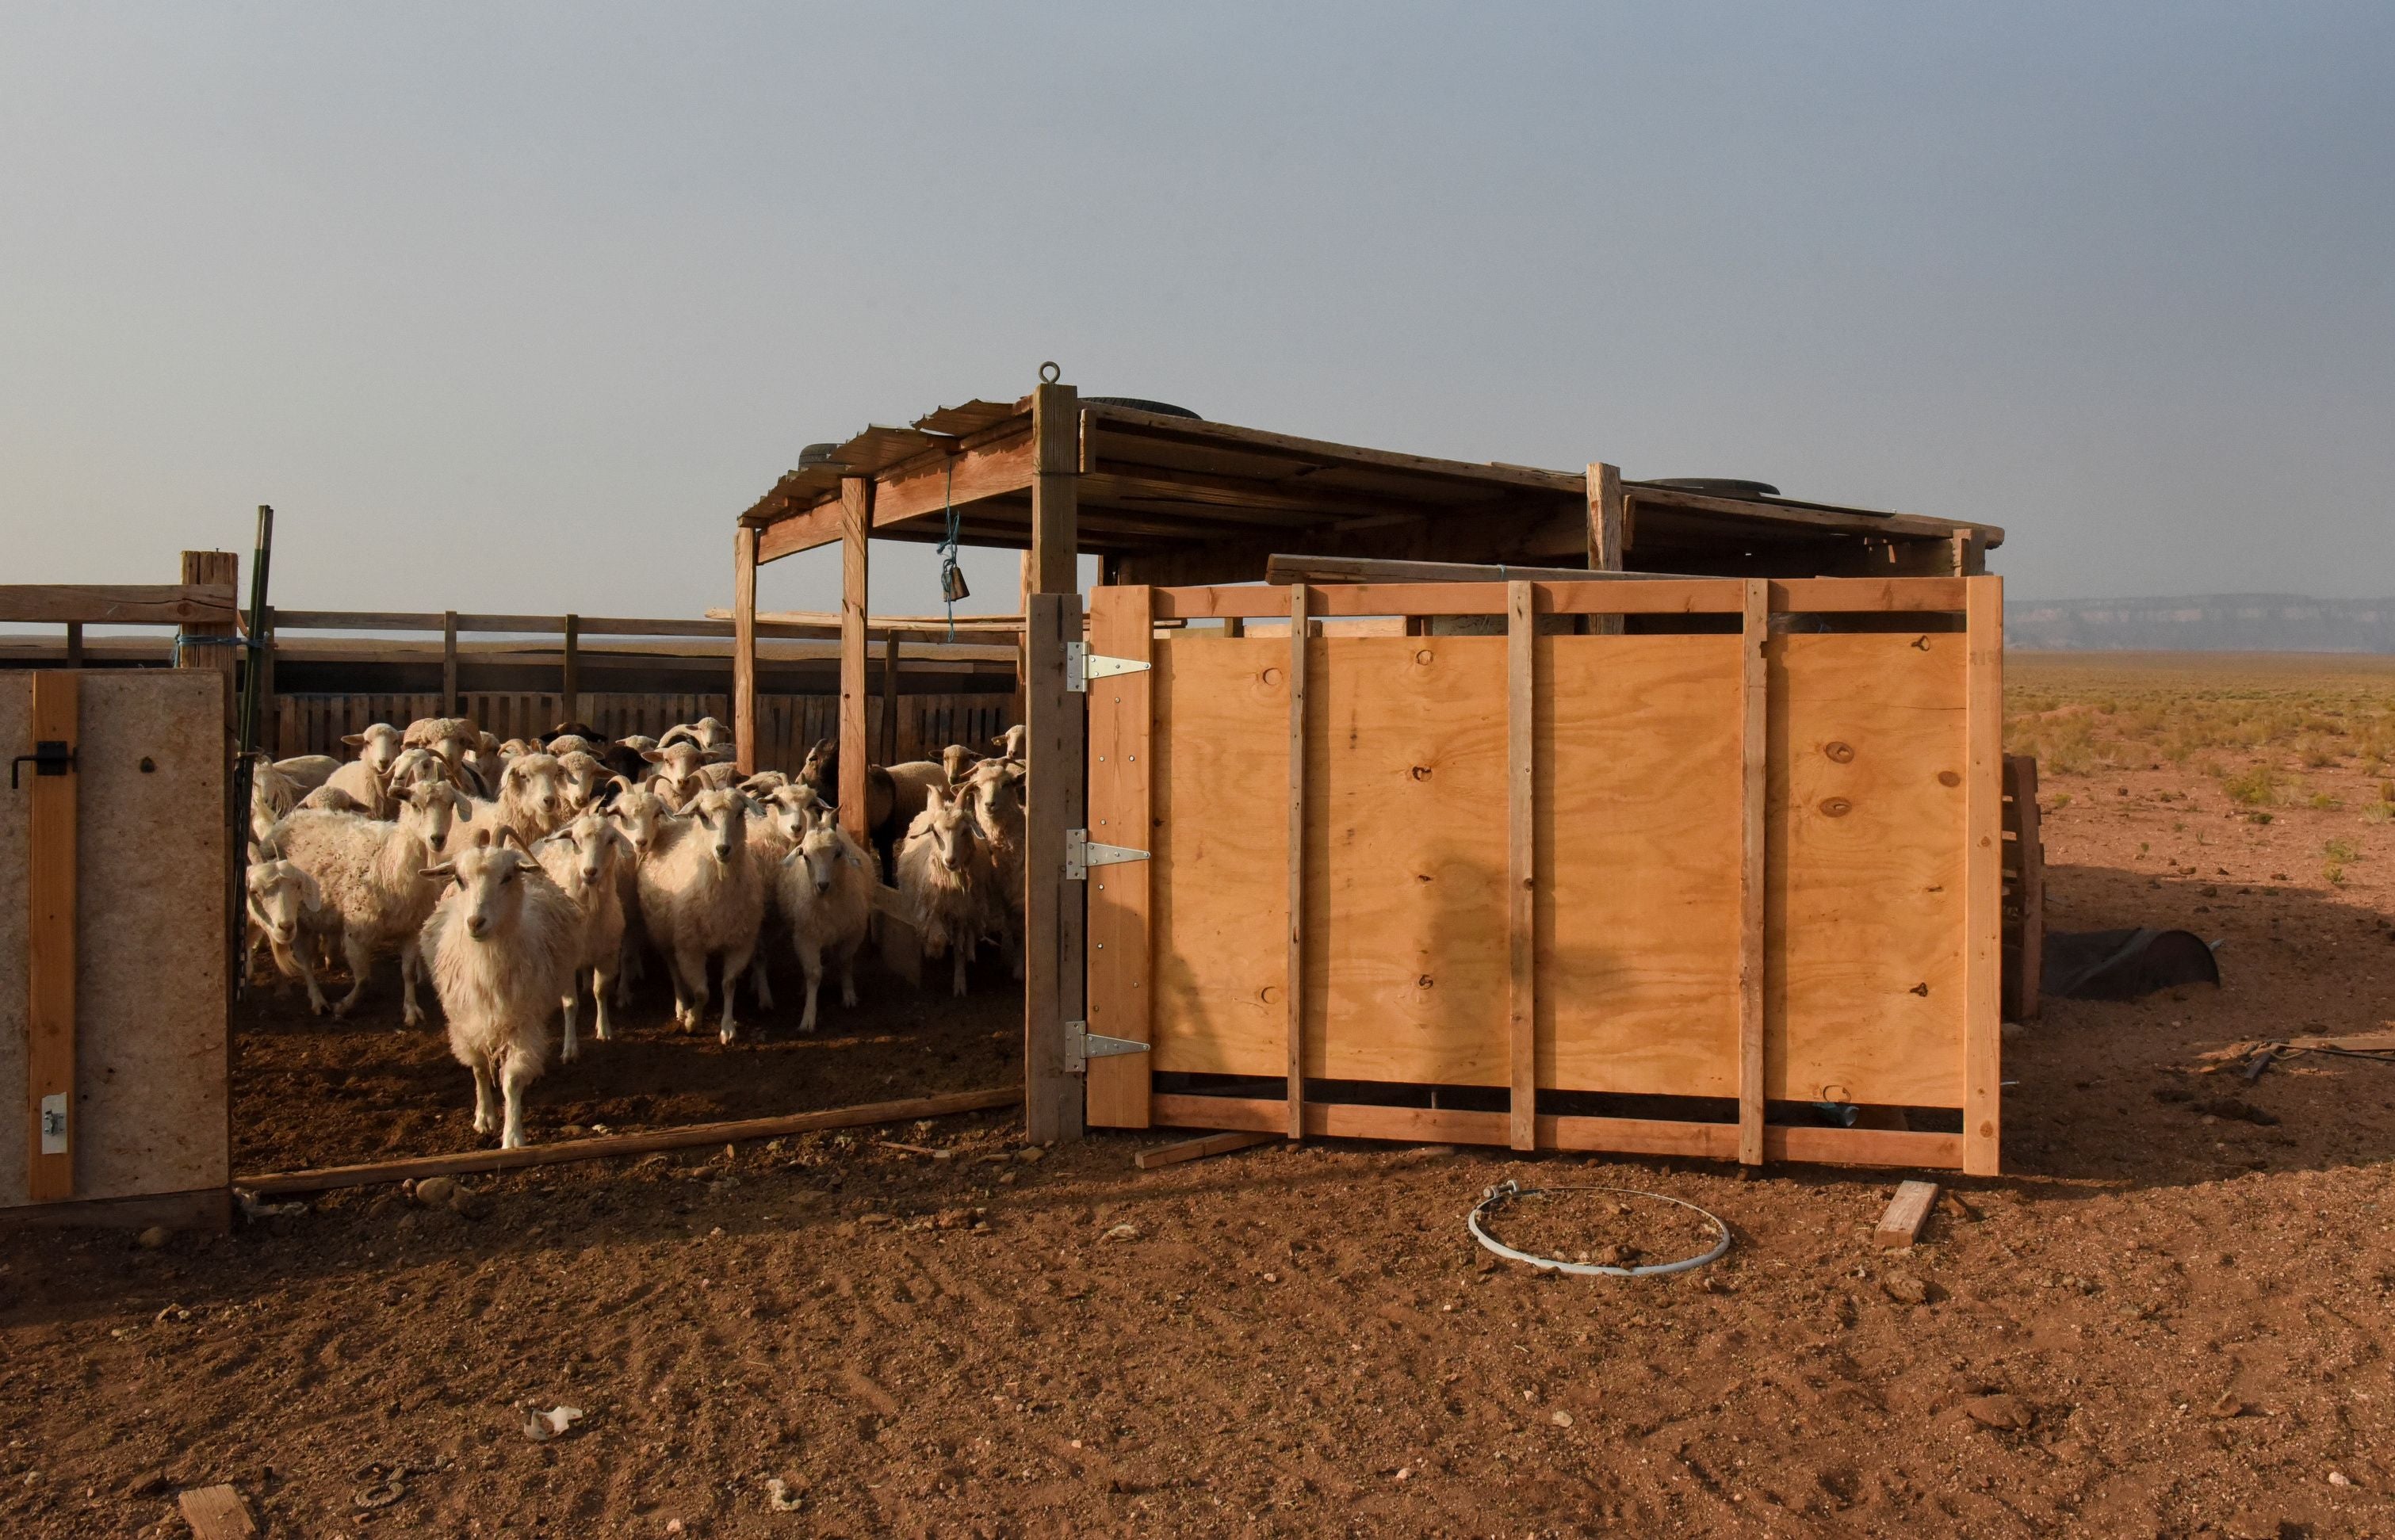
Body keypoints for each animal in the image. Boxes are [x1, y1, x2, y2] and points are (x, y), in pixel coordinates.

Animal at [419, 838, 582, 1149]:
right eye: (459, 879)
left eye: (507, 877)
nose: (475, 922)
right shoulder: (466, 1022)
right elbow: (480, 1069)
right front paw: (484, 1118)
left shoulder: (522, 1023)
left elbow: (512, 1081)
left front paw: (513, 1137)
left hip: (566, 968)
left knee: (570, 1004)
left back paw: (570, 1049)